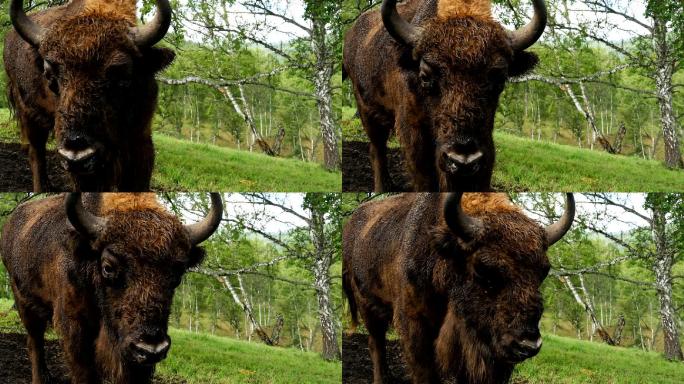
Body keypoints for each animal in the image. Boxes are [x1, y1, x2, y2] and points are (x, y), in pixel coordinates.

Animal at [1, 194, 223, 382]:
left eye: (178, 273)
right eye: (108, 267)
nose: (151, 348)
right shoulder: (74, 328)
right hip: (24, 302)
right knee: (34, 341)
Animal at [4, 0, 176, 192]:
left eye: (122, 74)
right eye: (50, 76)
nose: (76, 155)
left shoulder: (140, 138)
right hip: (28, 113)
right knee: (36, 152)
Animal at [344, 0, 548, 192]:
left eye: (500, 79)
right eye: (425, 76)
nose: (463, 160)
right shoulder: (412, 130)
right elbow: (425, 177)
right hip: (366, 110)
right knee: (377, 148)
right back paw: (382, 188)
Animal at [344, 194, 576, 382]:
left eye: (544, 271)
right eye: (483, 268)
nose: (528, 345)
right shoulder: (414, 326)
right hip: (367, 305)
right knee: (376, 344)